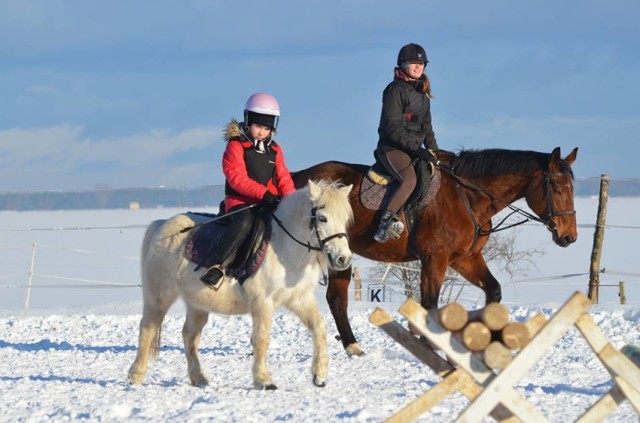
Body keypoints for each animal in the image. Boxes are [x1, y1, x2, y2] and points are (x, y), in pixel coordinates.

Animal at [127, 180, 352, 390]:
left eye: (345, 219)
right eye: (322, 218)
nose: (343, 259)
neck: (284, 246)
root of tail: (162, 224)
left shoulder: (300, 299)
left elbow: (319, 328)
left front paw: (319, 376)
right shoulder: (262, 302)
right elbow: (261, 339)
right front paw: (264, 380)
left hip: (197, 305)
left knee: (189, 336)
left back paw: (199, 378)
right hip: (159, 295)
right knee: (148, 328)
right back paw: (136, 375)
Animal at [292, 147, 576, 356]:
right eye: (557, 189)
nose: (569, 237)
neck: (467, 197)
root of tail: (299, 175)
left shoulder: (465, 259)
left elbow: (493, 291)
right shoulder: (435, 258)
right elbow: (430, 305)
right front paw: (428, 346)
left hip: (339, 254)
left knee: (337, 298)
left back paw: (353, 346)